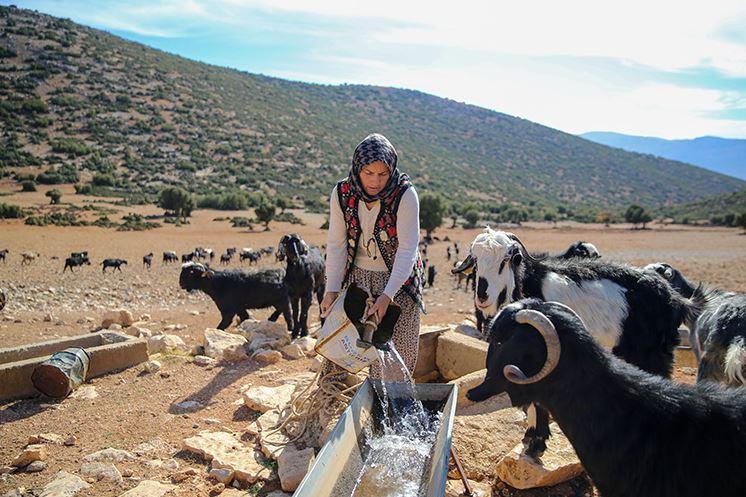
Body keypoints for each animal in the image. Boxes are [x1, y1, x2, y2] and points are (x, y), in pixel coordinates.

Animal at [450, 227, 696, 456]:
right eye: (476, 261)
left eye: (506, 259)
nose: (483, 296)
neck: (528, 285)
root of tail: (677, 300)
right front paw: (531, 437)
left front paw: (537, 444)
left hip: (654, 355)